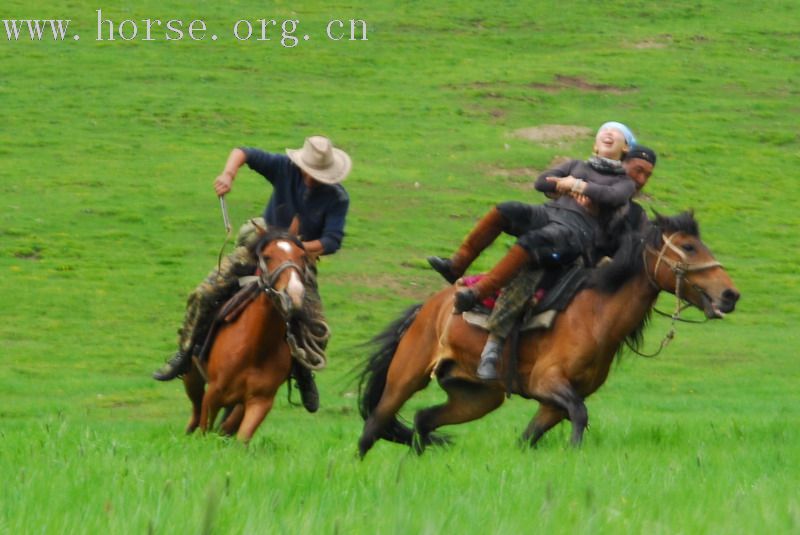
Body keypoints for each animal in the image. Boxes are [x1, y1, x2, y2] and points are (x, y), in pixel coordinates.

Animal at [182, 230, 310, 444]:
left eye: (302, 256)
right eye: (267, 256)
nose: (293, 294)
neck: (255, 348)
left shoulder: (260, 401)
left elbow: (241, 437)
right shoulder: (213, 393)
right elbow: (205, 427)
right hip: (192, 378)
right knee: (195, 412)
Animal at [360, 213, 740, 456]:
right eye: (689, 247)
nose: (730, 295)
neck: (594, 315)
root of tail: (426, 309)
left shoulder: (552, 403)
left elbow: (530, 437)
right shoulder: (547, 382)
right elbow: (580, 414)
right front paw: (574, 455)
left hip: (477, 397)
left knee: (424, 419)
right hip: (406, 379)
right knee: (373, 427)